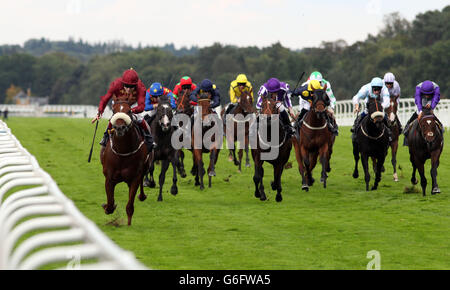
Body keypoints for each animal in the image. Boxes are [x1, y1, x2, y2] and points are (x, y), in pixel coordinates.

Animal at [100, 97, 149, 227]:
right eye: (114, 111)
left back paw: (142, 196)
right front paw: (107, 206)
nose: (119, 128)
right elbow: (110, 204)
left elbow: (130, 205)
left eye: (129, 111)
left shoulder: (135, 177)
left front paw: (128, 224)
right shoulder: (109, 178)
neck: (123, 151)